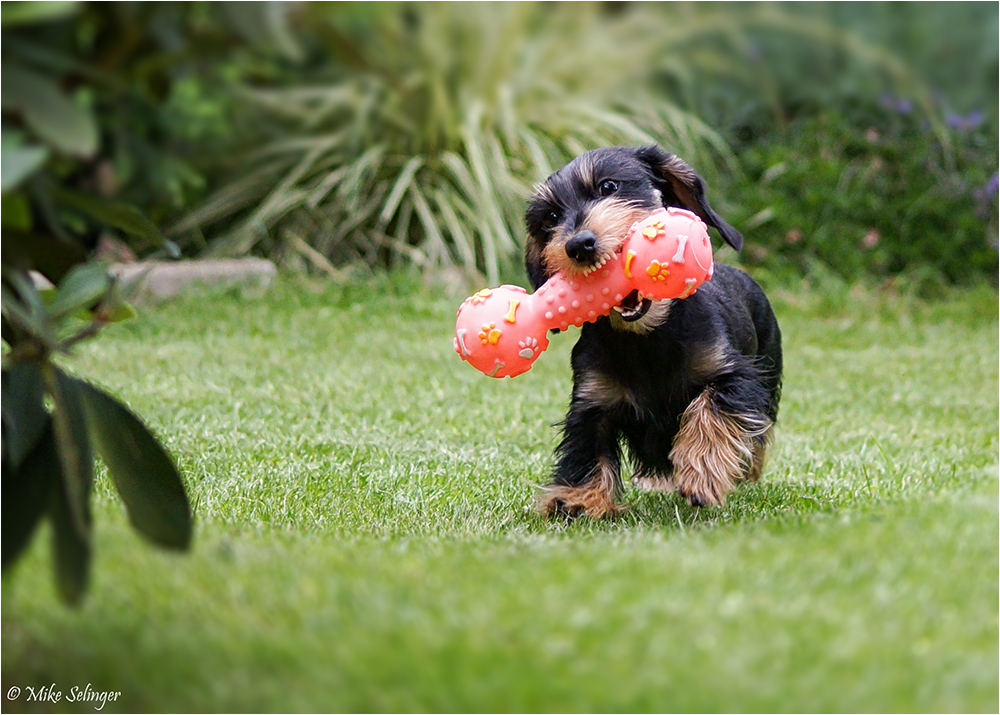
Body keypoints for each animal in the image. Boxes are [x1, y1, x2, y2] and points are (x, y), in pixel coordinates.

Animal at [524, 145, 780, 516]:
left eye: (609, 186)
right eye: (550, 218)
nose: (579, 245)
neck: (646, 338)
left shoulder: (732, 375)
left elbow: (712, 411)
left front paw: (702, 474)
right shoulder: (592, 400)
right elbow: (586, 450)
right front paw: (577, 500)